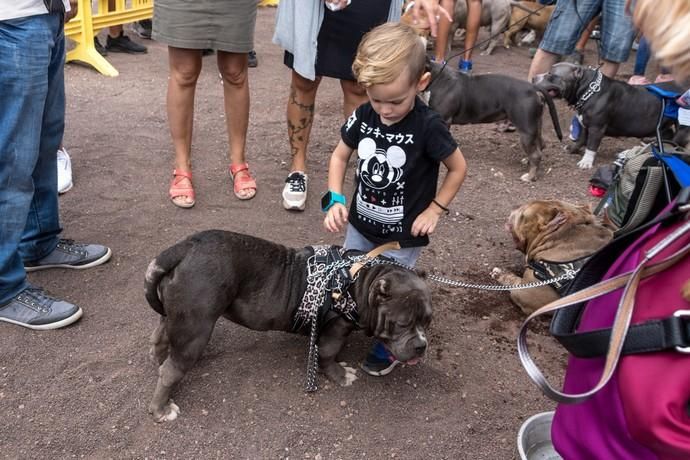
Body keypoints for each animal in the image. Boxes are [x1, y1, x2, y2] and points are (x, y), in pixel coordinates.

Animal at [142, 232, 430, 422]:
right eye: (402, 324)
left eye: (427, 321)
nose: (421, 346)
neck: (360, 280)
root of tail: (185, 247)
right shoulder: (335, 330)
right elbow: (327, 355)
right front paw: (339, 375)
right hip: (196, 326)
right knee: (172, 368)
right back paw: (161, 409)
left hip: (178, 314)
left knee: (161, 336)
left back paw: (159, 359)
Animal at [532, 61, 676, 169]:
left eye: (550, 74)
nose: (534, 77)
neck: (588, 90)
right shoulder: (585, 124)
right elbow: (581, 139)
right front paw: (573, 149)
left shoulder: (596, 128)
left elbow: (591, 145)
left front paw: (586, 162)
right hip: (664, 126)